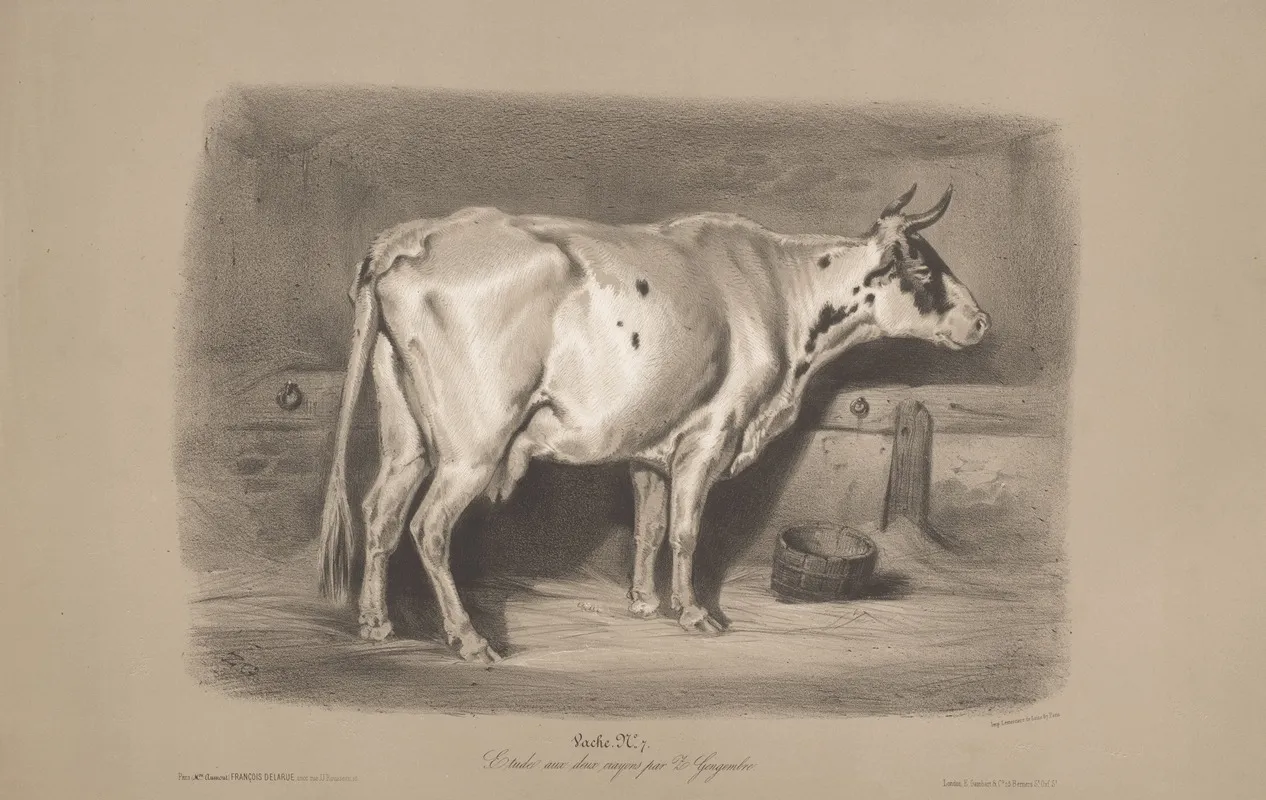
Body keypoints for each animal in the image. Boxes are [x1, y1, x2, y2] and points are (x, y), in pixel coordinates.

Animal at [318, 184, 990, 663]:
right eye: (922, 269)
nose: (982, 321)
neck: (778, 292)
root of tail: (412, 237)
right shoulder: (709, 438)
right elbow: (686, 532)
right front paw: (694, 613)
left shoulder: (651, 448)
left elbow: (648, 527)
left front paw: (643, 602)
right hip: (472, 446)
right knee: (429, 527)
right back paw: (469, 639)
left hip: (407, 436)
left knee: (381, 514)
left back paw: (376, 623)